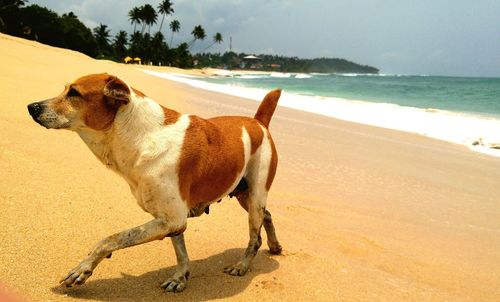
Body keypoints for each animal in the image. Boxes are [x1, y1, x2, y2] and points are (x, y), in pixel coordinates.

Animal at [27, 73, 284, 292]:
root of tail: (258, 122)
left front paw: (84, 267)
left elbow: (110, 239)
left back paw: (242, 265)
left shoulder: (171, 218)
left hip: (255, 196)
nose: (32, 107)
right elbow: (180, 251)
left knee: (255, 237)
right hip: (243, 194)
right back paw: (274, 246)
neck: (139, 137)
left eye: (74, 93)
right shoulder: (171, 218)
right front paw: (180, 277)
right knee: (268, 216)